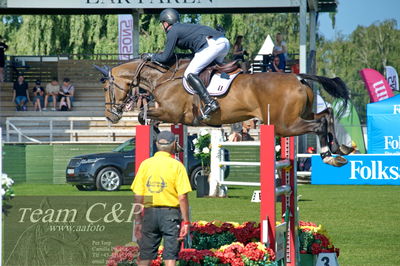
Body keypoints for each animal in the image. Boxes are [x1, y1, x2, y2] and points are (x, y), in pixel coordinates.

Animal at [95, 56, 354, 166]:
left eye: (107, 88)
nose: (110, 116)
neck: (162, 79)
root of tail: (298, 78)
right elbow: (150, 120)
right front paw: (173, 145)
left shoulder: (171, 113)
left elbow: (143, 116)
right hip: (300, 115)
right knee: (327, 115)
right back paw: (340, 148)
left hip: (285, 125)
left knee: (319, 124)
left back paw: (329, 155)